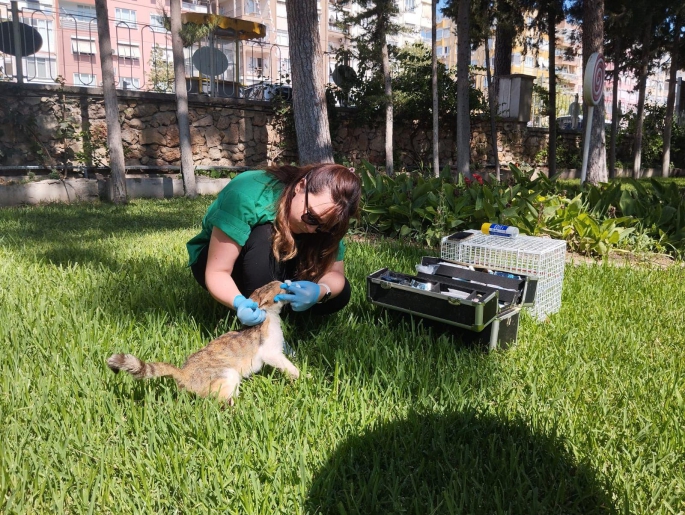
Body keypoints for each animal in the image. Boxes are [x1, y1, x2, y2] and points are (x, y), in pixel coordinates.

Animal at [107, 282, 300, 408]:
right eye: (281, 287)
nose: (287, 281)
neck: (270, 317)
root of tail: (184, 373)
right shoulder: (271, 352)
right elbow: (287, 365)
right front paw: (299, 376)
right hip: (227, 374)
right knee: (222, 401)